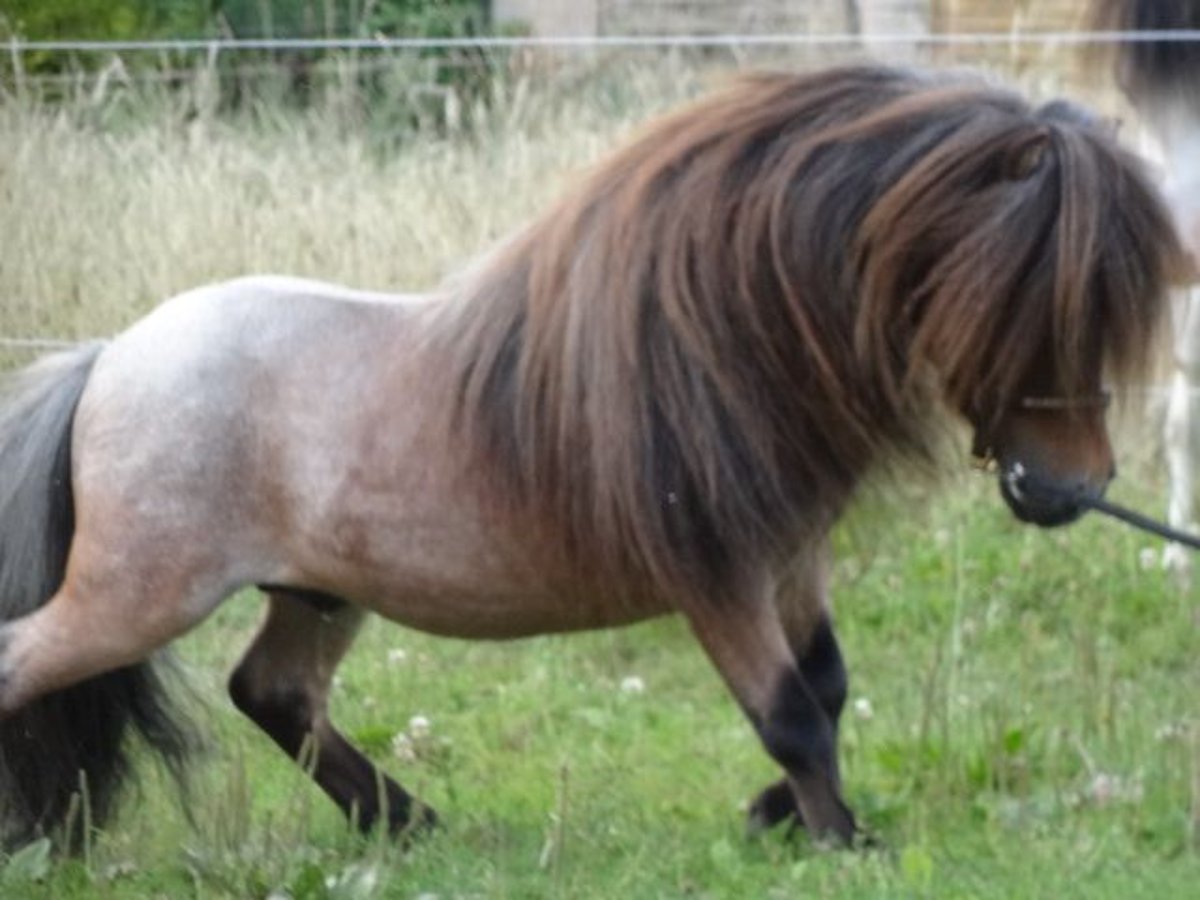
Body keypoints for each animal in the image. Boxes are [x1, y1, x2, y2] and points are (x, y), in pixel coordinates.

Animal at [0, 63, 1180, 854]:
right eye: (1039, 301)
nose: (1073, 490)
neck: (728, 337)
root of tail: (110, 360)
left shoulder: (793, 563)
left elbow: (829, 690)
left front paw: (782, 818)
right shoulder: (721, 579)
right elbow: (791, 714)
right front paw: (842, 839)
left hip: (316, 593)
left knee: (273, 694)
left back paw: (407, 821)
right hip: (141, 595)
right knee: (32, 665)